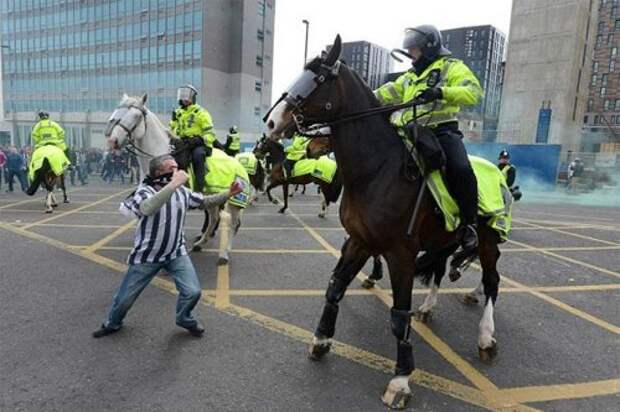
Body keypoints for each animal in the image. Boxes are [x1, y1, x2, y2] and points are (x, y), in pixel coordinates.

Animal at [104, 94, 242, 264]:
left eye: (137, 116)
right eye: (117, 112)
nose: (112, 141)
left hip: (231, 201)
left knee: (231, 222)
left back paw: (225, 253)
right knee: (214, 218)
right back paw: (200, 243)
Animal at [264, 35, 502, 408]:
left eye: (319, 78)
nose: (272, 123)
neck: (378, 171)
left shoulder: (400, 253)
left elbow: (399, 315)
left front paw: (401, 380)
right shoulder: (359, 241)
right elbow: (334, 288)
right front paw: (321, 340)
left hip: (488, 239)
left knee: (492, 281)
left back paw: (486, 337)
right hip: (444, 239)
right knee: (439, 270)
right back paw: (430, 307)